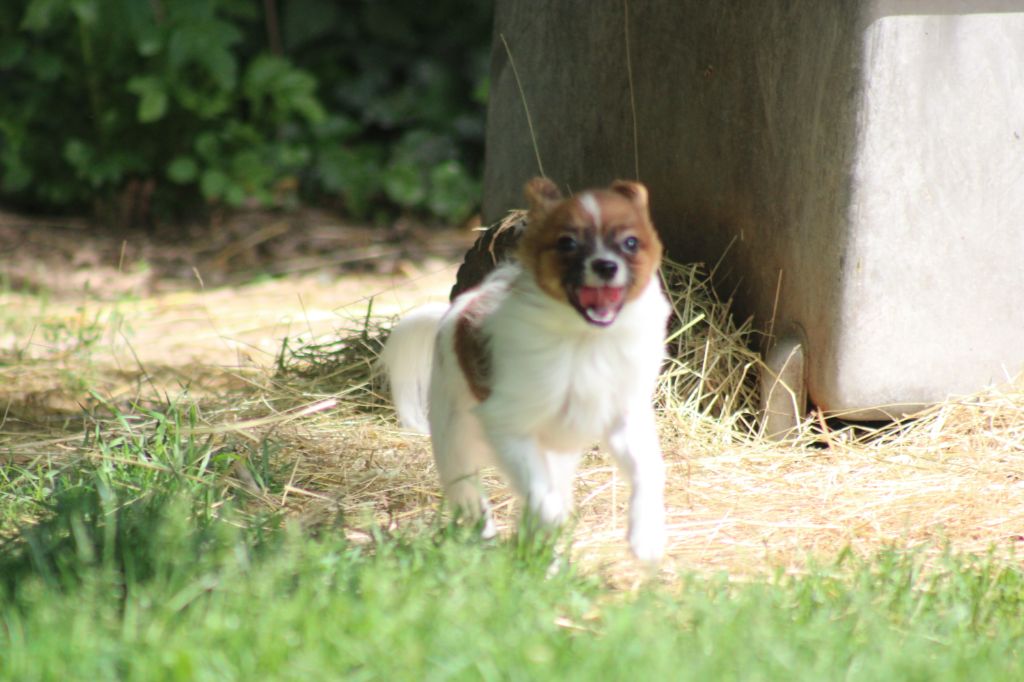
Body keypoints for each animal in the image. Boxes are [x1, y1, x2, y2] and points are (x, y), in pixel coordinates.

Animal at [380, 178, 667, 561]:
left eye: (630, 243)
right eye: (567, 243)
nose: (606, 266)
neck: (584, 339)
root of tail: (452, 311)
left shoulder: (623, 417)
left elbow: (646, 471)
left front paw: (645, 535)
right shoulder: (509, 427)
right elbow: (543, 502)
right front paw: (547, 528)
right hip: (453, 444)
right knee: (471, 499)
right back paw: (487, 541)